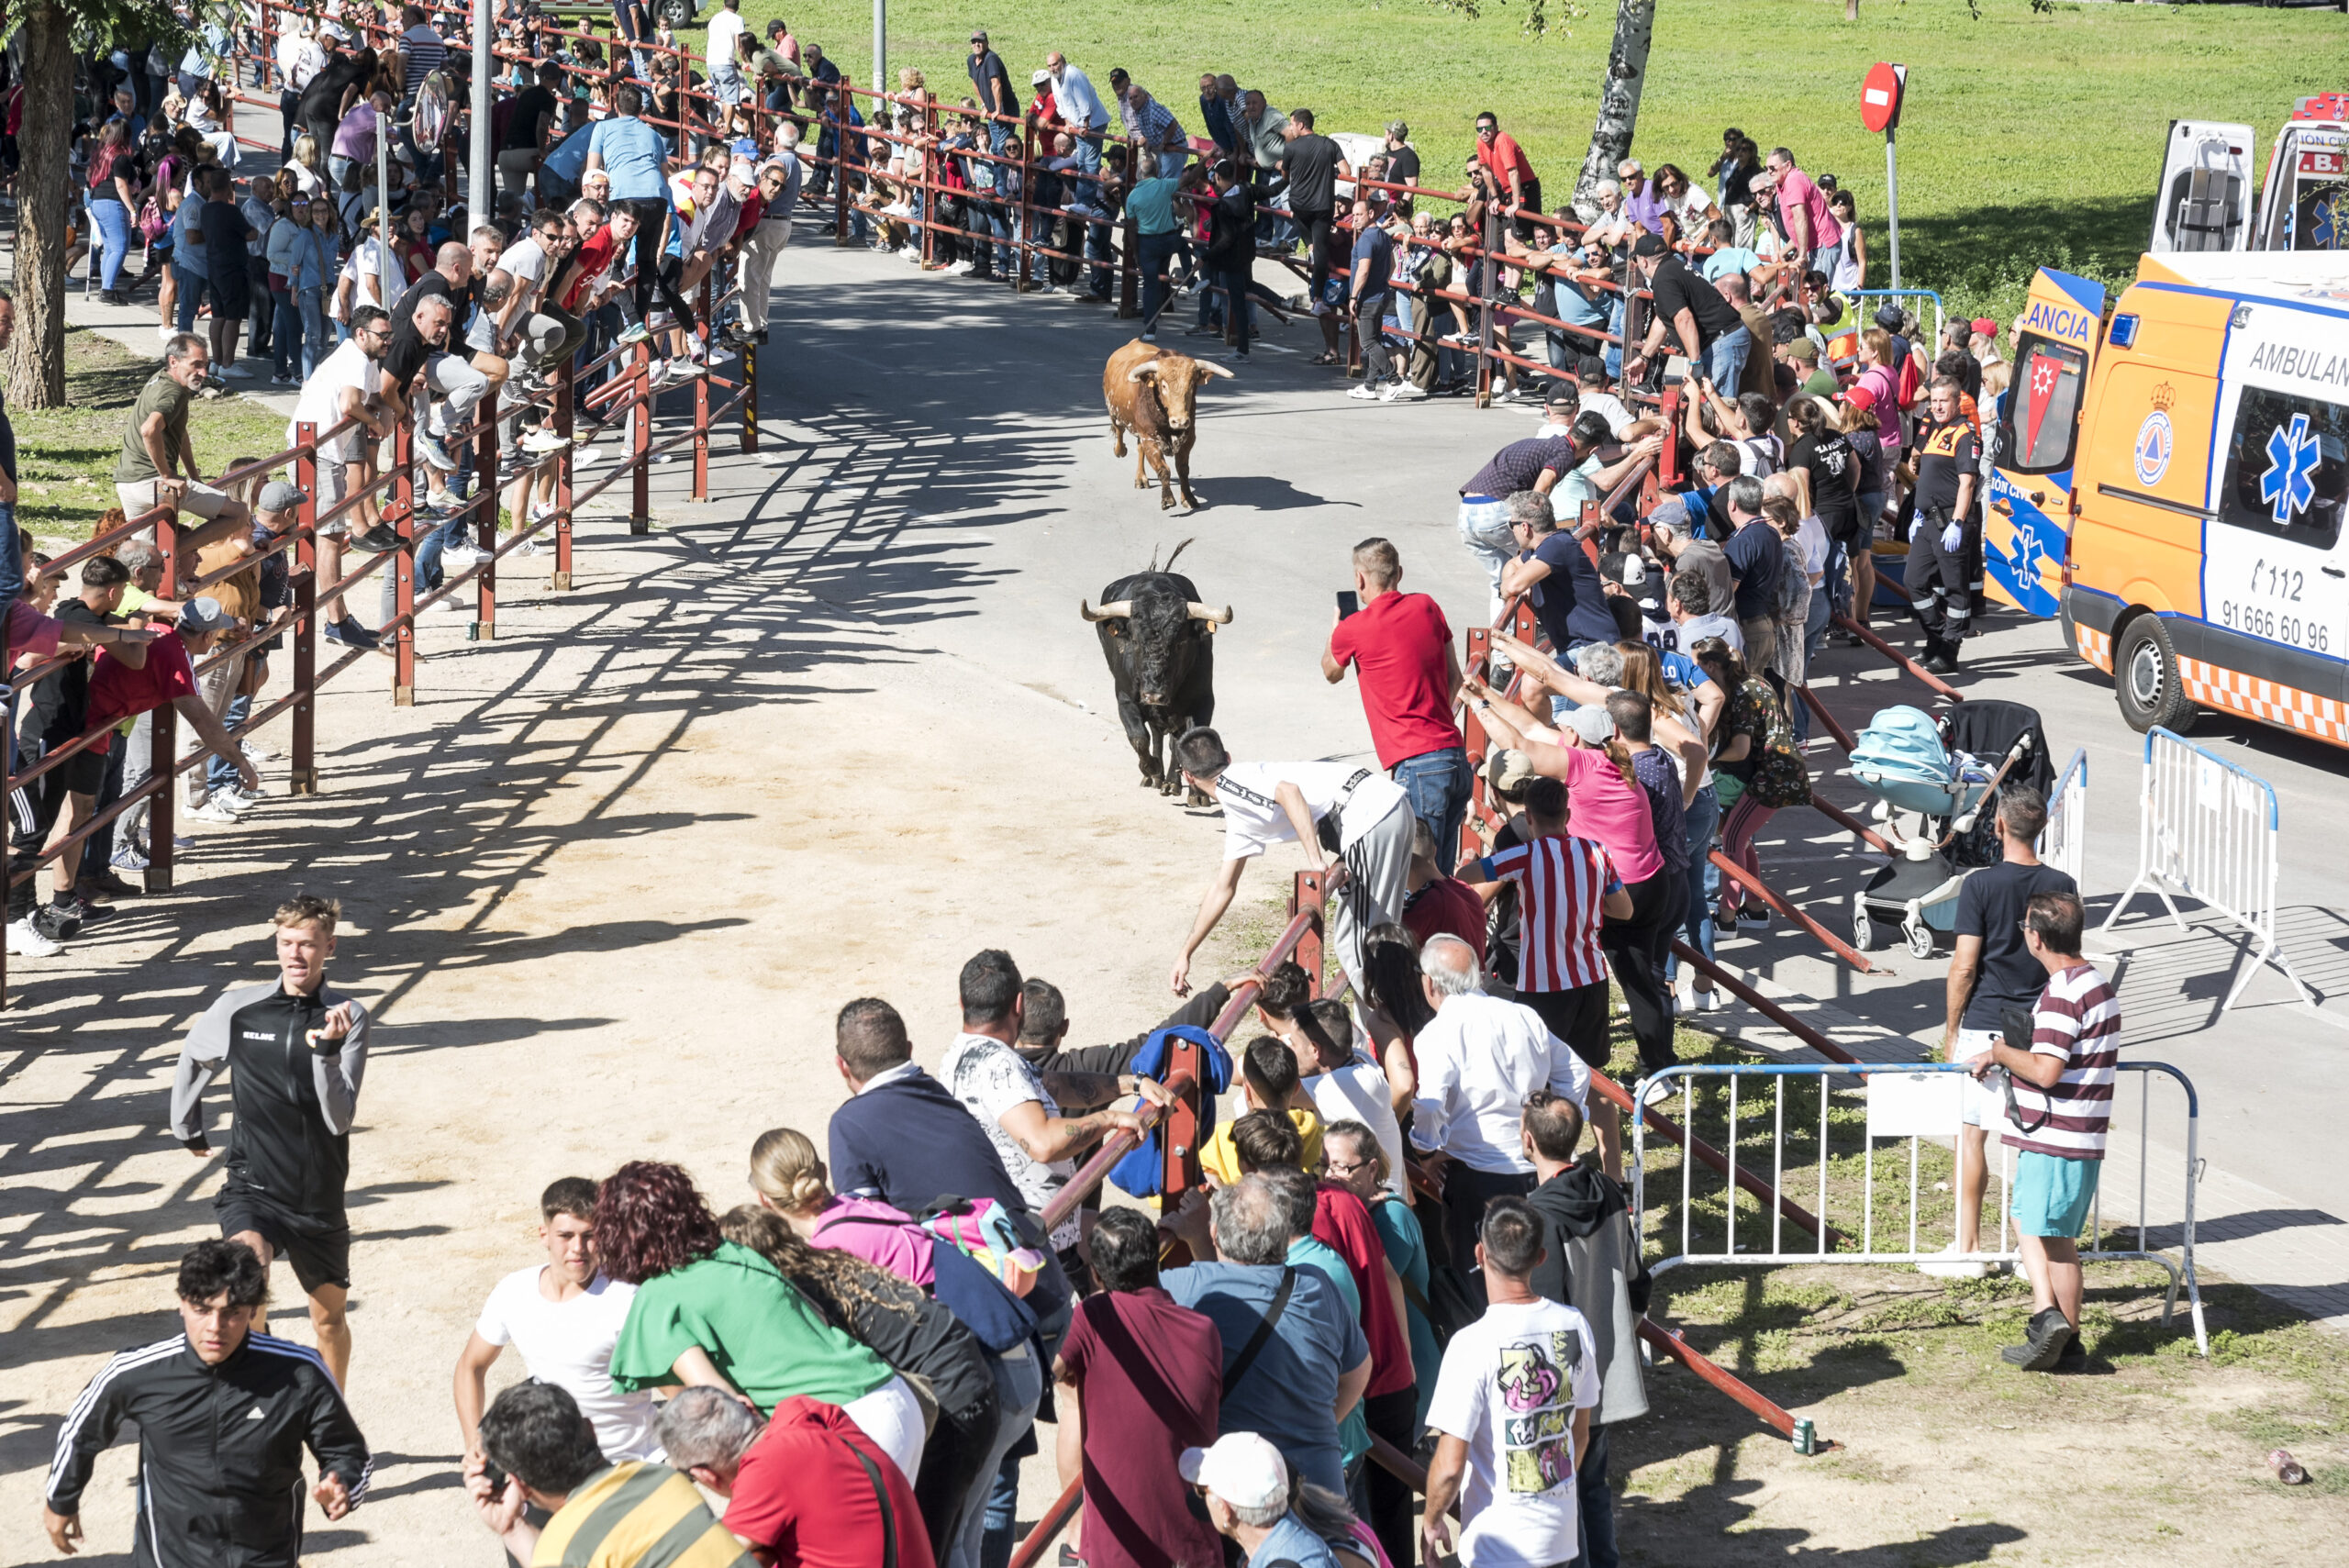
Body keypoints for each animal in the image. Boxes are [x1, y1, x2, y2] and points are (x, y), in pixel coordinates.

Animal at [1075, 573, 1230, 797]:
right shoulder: (1126, 700)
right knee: (1156, 735)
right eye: (1135, 641)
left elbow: (1190, 739)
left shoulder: (1203, 700)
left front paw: (1197, 793)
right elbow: (1139, 738)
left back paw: (1172, 782)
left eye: (1180, 643)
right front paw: (1152, 769)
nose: (1153, 696)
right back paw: (1156, 777)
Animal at [1104, 339, 1240, 511]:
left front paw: (1188, 498)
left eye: (1191, 385)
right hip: (1114, 413)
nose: (1180, 421)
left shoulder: (1189, 437)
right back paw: (1120, 451)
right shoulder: (1149, 437)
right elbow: (1163, 469)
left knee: (1139, 447)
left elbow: (1183, 469)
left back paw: (1141, 478)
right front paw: (1168, 499)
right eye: (1163, 386)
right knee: (1119, 431)